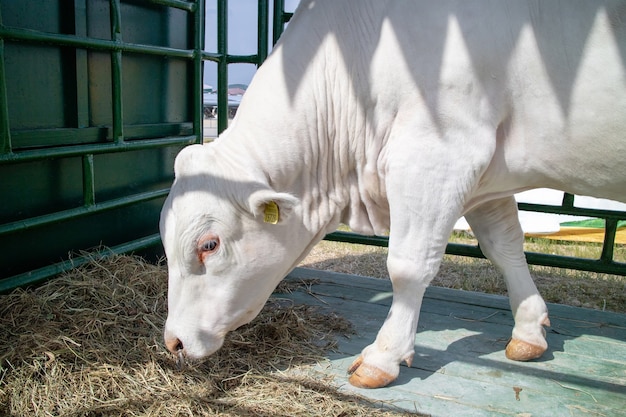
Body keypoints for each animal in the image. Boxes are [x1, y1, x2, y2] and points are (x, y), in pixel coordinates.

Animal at [161, 1, 624, 388]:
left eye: (209, 244)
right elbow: (505, 247)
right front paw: (529, 331)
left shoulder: (438, 155)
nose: (173, 343)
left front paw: (382, 357)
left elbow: (407, 267)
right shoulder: (487, 175)